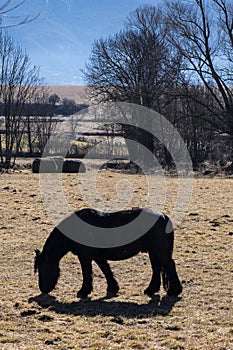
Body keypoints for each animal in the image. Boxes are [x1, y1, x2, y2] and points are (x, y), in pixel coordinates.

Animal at [33, 208, 182, 298]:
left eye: (42, 268)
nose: (43, 289)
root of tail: (163, 217)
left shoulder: (85, 257)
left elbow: (87, 273)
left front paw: (83, 292)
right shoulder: (98, 256)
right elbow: (106, 270)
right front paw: (113, 288)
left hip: (160, 251)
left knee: (169, 265)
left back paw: (174, 291)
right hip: (153, 252)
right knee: (157, 268)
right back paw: (150, 290)